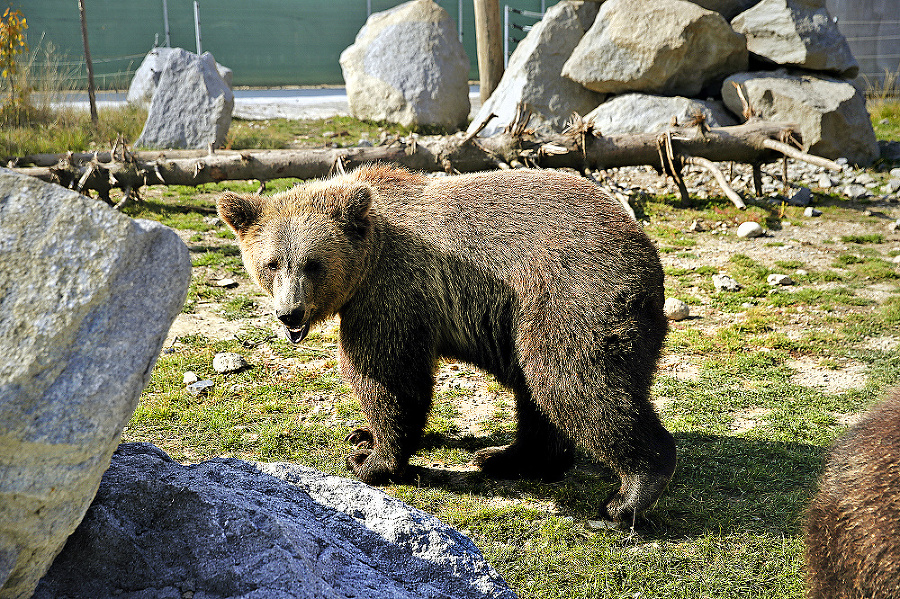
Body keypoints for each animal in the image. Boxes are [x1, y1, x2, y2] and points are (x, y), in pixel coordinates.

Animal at [220, 164, 676, 524]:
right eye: (272, 263)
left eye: (313, 264)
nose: (289, 313)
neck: (369, 253)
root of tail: (647, 252)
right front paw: (360, 435)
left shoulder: (391, 292)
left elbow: (388, 377)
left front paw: (373, 461)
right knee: (538, 394)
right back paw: (505, 457)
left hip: (569, 298)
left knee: (575, 384)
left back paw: (628, 495)